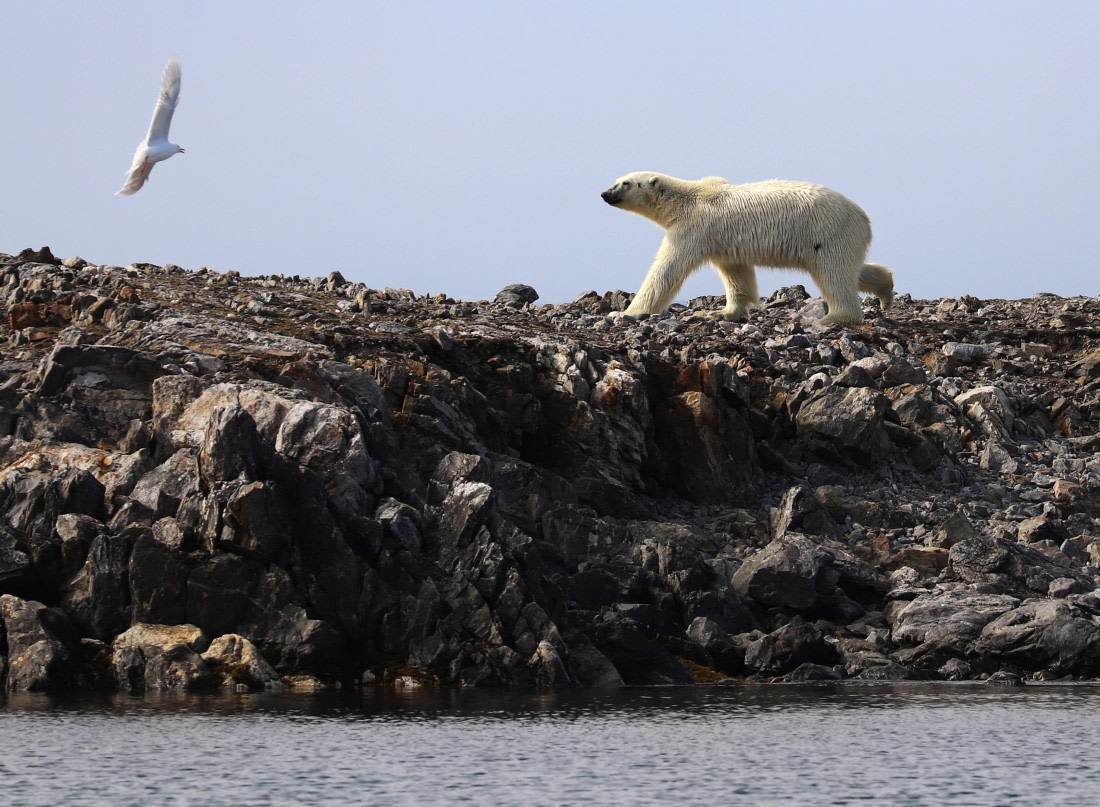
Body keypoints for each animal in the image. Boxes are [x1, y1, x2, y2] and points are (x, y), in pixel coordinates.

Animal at [600, 172, 894, 327]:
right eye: (616, 179)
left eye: (625, 183)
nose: (604, 193)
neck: (688, 199)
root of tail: (863, 217)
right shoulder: (723, 241)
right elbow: (736, 274)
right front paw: (725, 311)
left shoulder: (693, 228)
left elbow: (666, 270)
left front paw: (626, 312)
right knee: (851, 269)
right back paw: (886, 290)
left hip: (826, 232)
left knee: (834, 274)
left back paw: (834, 317)